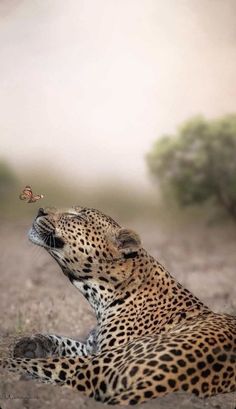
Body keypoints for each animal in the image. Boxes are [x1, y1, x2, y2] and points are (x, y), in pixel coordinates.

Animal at [0, 206, 236, 404]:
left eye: (76, 216)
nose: (40, 210)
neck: (99, 295)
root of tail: (167, 379)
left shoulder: (101, 352)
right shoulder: (93, 346)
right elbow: (67, 341)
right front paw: (32, 343)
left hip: (104, 362)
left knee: (61, 375)